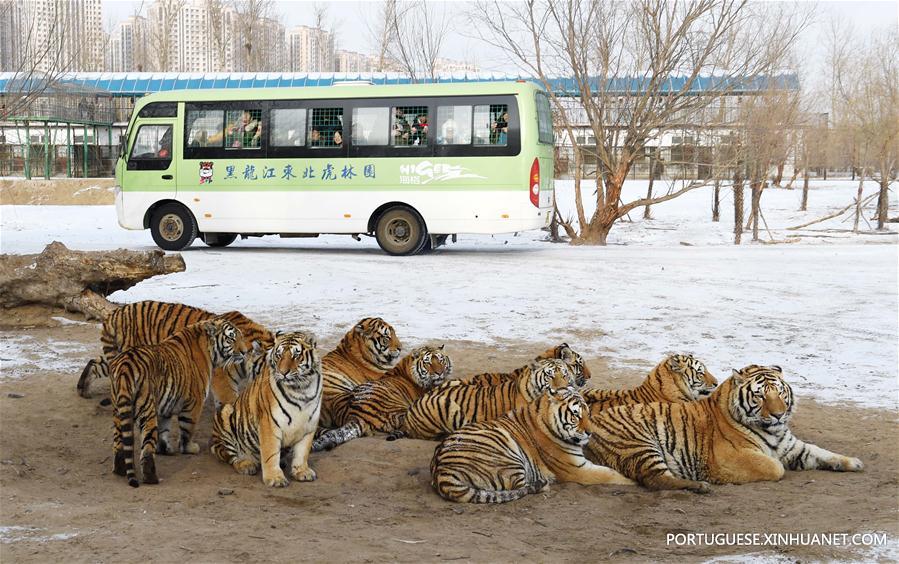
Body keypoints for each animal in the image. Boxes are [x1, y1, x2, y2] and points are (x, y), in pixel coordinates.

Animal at [77, 300, 273, 406]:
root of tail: (114, 314)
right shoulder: (223, 379)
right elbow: (231, 402)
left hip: (119, 354)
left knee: (96, 363)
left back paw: (83, 389)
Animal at [111, 318, 248, 487]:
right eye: (231, 338)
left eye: (241, 337)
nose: (245, 352)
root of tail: (125, 365)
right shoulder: (194, 402)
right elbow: (187, 429)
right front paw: (189, 448)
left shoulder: (165, 405)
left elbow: (164, 430)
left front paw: (165, 449)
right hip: (146, 411)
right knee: (147, 447)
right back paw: (151, 478)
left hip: (118, 411)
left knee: (119, 442)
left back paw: (120, 470)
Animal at [211, 331, 322, 487]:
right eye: (279, 355)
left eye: (296, 355)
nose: (283, 372)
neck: (301, 389)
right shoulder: (269, 423)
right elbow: (270, 453)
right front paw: (275, 478)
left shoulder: (309, 425)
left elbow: (302, 452)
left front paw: (302, 472)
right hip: (225, 413)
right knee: (230, 455)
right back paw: (246, 464)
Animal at [430, 387, 634, 504]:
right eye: (576, 415)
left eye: (588, 414)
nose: (590, 433)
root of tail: (441, 473)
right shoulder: (578, 470)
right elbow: (610, 475)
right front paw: (632, 482)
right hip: (507, 449)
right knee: (519, 486)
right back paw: (543, 484)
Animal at [584, 365, 864, 493]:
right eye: (760, 396)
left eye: (780, 393)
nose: (778, 414)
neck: (773, 431)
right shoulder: (729, 458)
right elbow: (775, 466)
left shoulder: (793, 447)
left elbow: (822, 452)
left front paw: (853, 462)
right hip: (640, 442)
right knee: (654, 479)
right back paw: (700, 486)